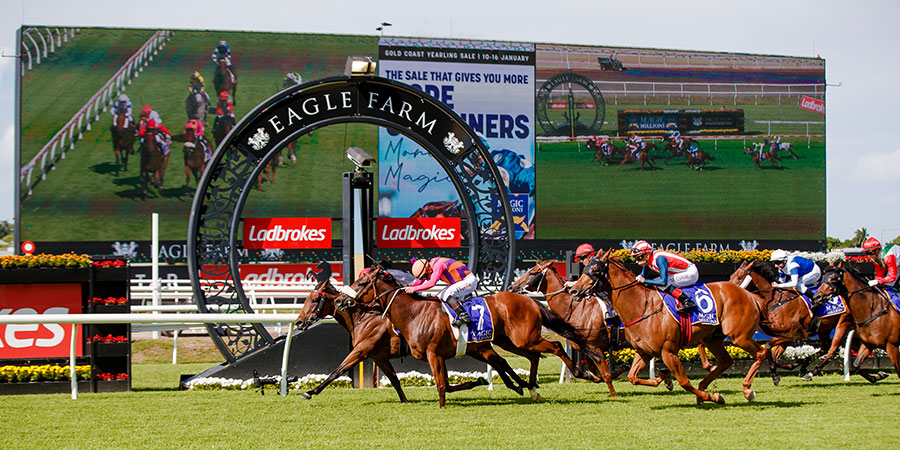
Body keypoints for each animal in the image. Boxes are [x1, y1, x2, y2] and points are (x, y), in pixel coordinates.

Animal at [334, 264, 616, 408]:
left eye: (362, 283)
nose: (339, 300)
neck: (414, 313)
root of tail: (529, 300)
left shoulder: (433, 353)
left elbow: (442, 385)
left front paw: (443, 406)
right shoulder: (444, 354)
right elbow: (447, 384)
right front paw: (479, 382)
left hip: (523, 338)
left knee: (556, 345)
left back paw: (582, 373)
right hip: (508, 341)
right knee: (533, 356)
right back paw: (531, 387)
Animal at [568, 250, 768, 404]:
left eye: (595, 269)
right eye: (584, 268)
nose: (574, 290)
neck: (642, 306)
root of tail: (750, 295)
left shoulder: (668, 351)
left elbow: (684, 382)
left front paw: (713, 397)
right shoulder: (643, 351)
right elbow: (633, 377)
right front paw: (662, 377)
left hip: (739, 336)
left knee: (761, 353)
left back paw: (747, 390)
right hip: (713, 338)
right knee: (726, 361)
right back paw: (704, 385)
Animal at [728, 260, 856, 384]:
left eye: (740, 277)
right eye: (731, 276)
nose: (729, 290)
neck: (775, 300)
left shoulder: (791, 334)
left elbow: (768, 347)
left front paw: (777, 374)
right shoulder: (782, 336)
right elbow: (773, 355)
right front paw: (785, 369)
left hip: (842, 323)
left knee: (832, 351)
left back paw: (809, 372)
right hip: (824, 328)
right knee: (825, 347)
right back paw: (804, 366)